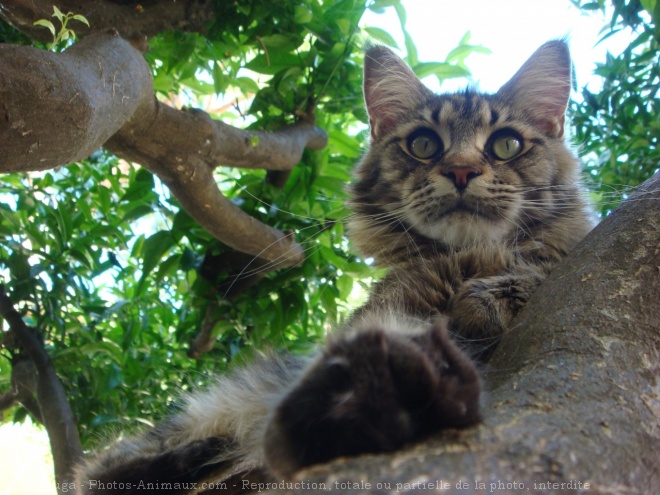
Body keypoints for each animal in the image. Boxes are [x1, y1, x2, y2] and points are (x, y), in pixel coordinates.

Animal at [76, 39, 592, 492]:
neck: (460, 256)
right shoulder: (384, 311)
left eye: (506, 145)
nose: (461, 171)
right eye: (424, 145)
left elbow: (534, 270)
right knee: (102, 466)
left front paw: (485, 298)